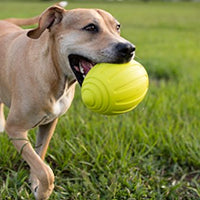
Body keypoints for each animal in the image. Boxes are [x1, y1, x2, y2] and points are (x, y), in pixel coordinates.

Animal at [0, 3, 135, 200]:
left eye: (117, 27)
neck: (53, 73)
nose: (129, 49)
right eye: (90, 27)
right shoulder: (16, 129)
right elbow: (45, 171)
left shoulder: (49, 124)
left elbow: (39, 157)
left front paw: (35, 184)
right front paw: (43, 190)